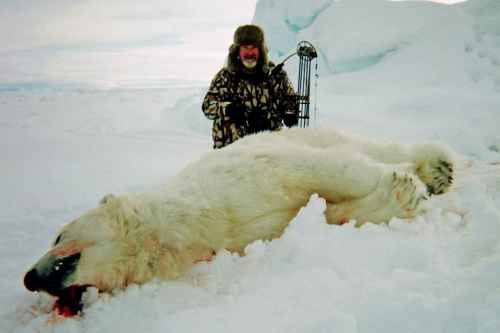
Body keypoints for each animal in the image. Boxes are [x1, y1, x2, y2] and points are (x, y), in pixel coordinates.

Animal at [24, 126, 454, 314]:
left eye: (57, 234)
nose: (29, 278)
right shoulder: (235, 236)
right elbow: (326, 212)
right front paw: (399, 194)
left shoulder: (240, 177)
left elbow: (324, 170)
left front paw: (406, 185)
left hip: (316, 133)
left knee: (374, 147)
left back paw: (438, 167)